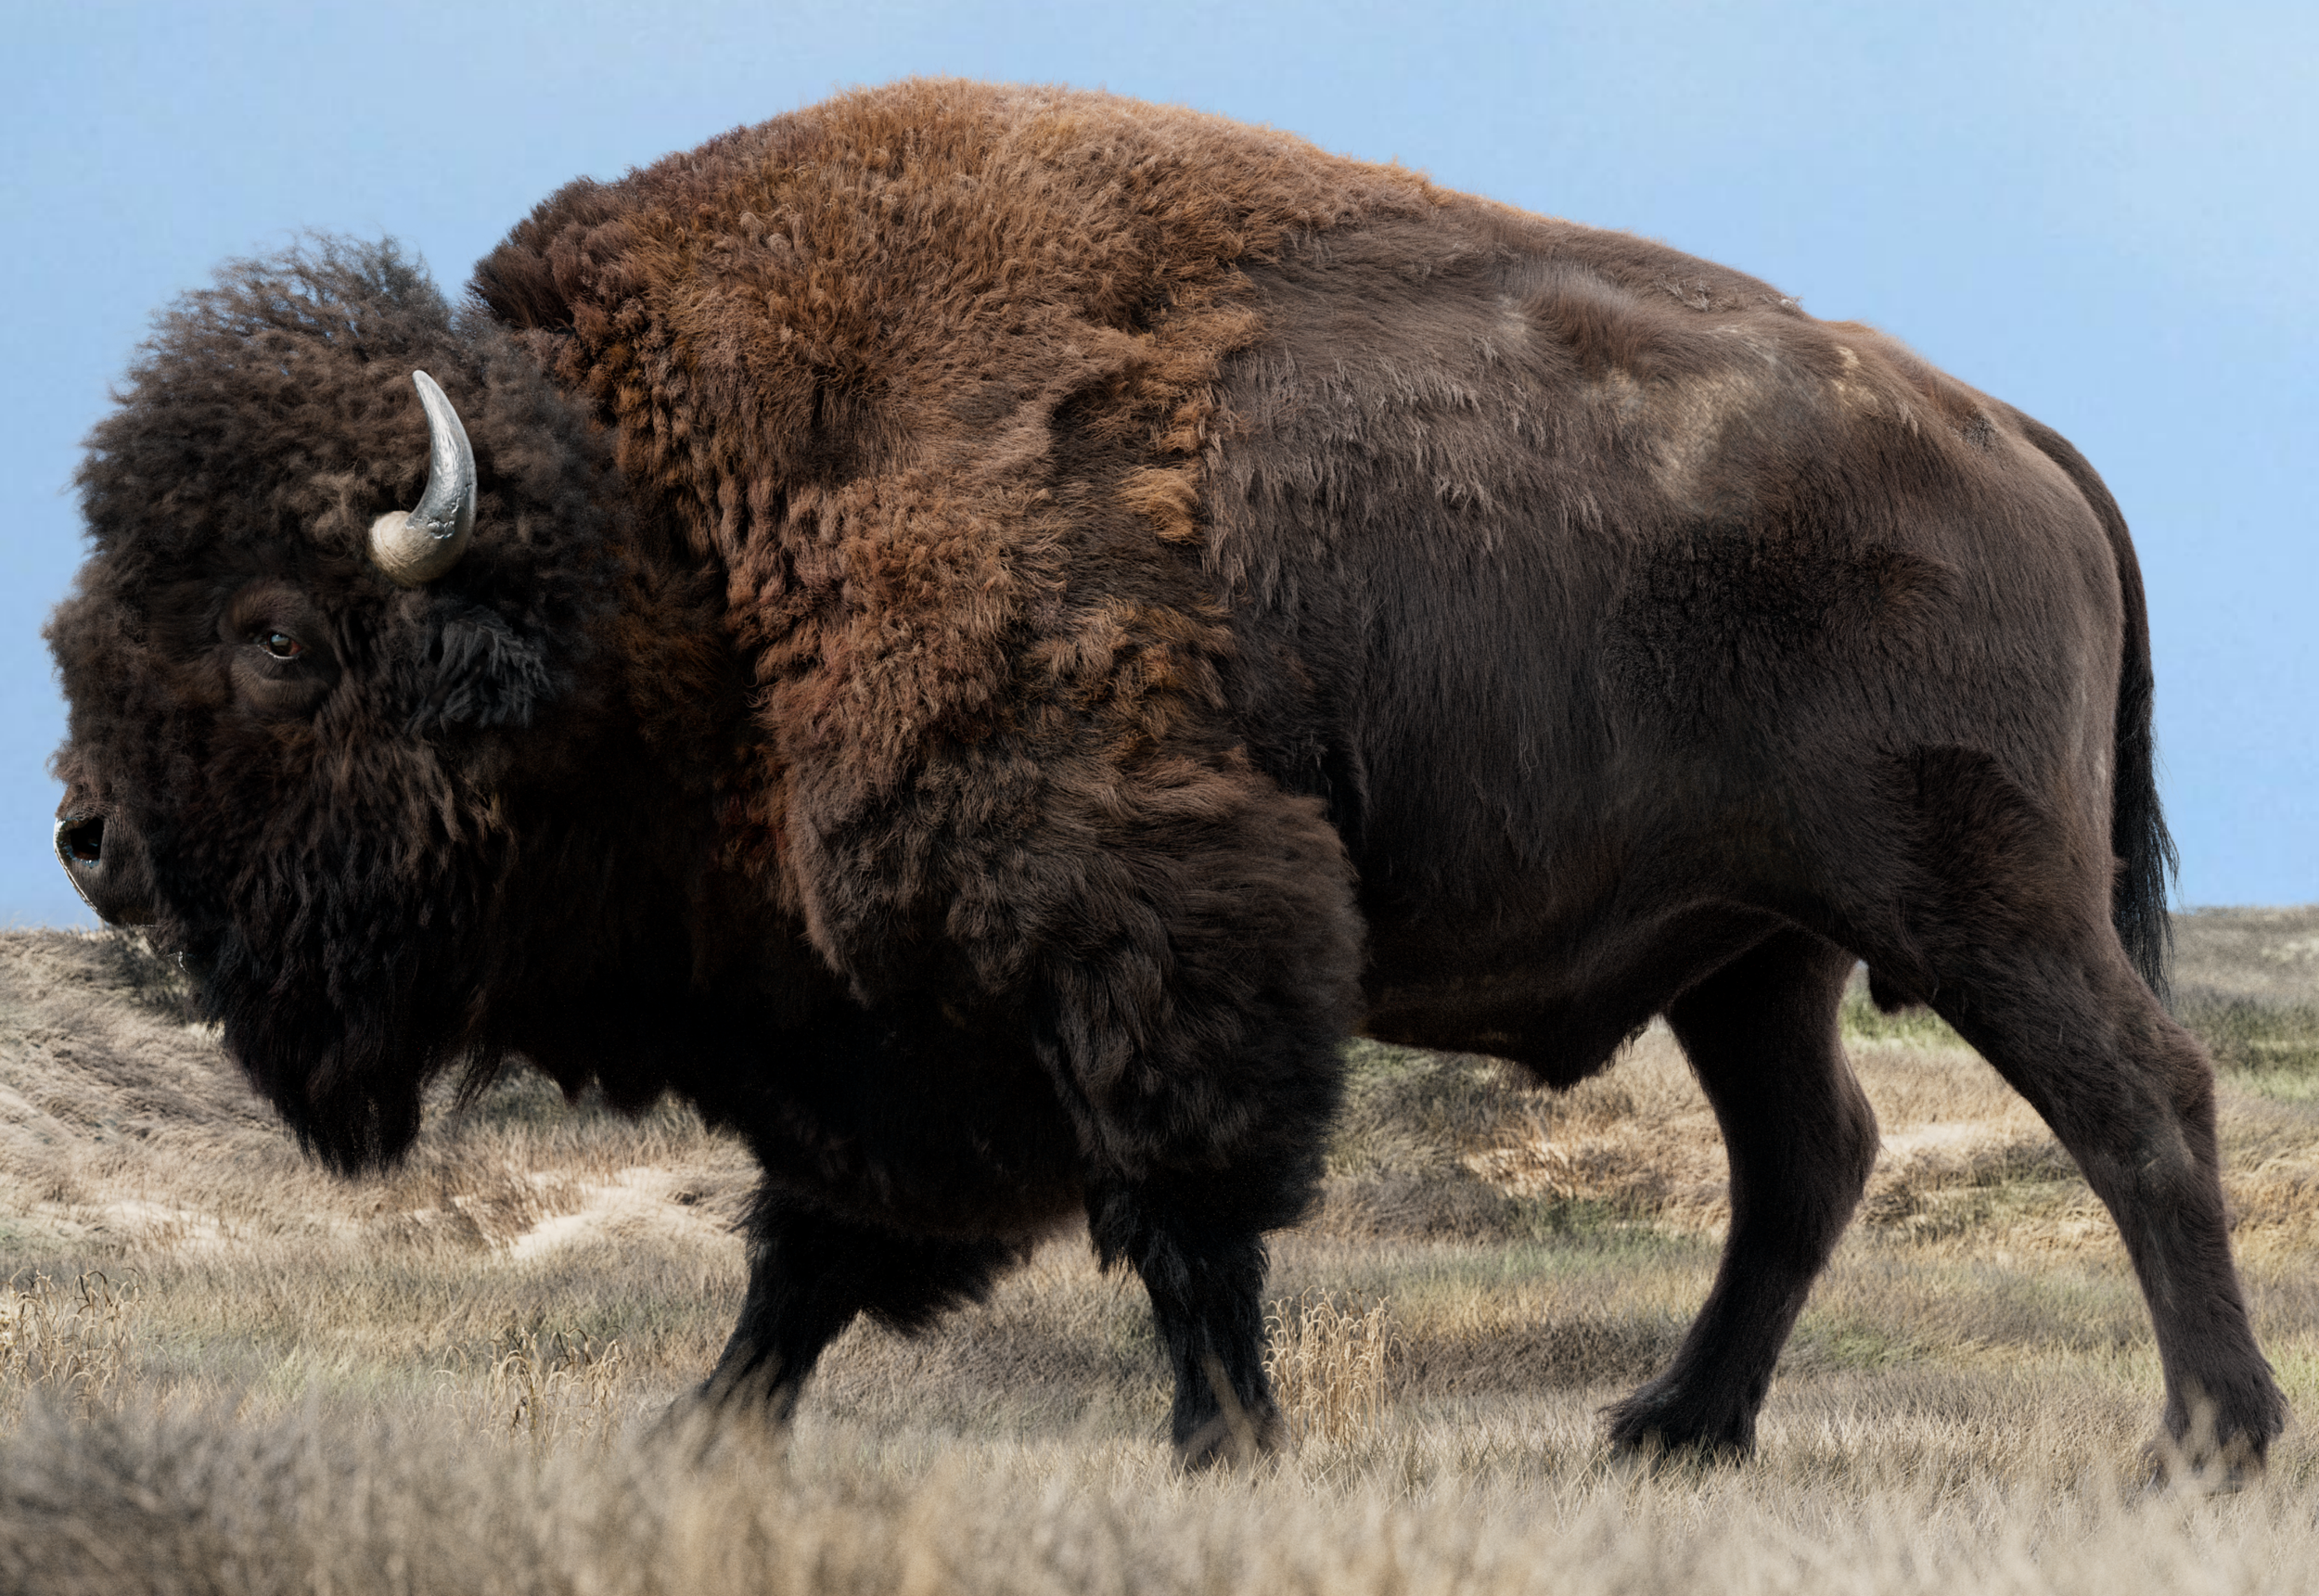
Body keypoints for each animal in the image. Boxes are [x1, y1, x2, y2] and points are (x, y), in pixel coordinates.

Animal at [47, 79, 2284, 1469]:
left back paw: (2201, 1439)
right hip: (1754, 949)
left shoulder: (1134, 939)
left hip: (1972, 895)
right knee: (1805, 1154)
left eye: (274, 631)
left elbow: (1173, 1212)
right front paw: (691, 1428)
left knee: (2136, 1100)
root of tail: (2010, 431)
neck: (651, 544)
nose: (86, 837)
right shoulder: (884, 1018)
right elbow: (819, 1246)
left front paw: (1224, 1446)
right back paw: (1670, 1432)